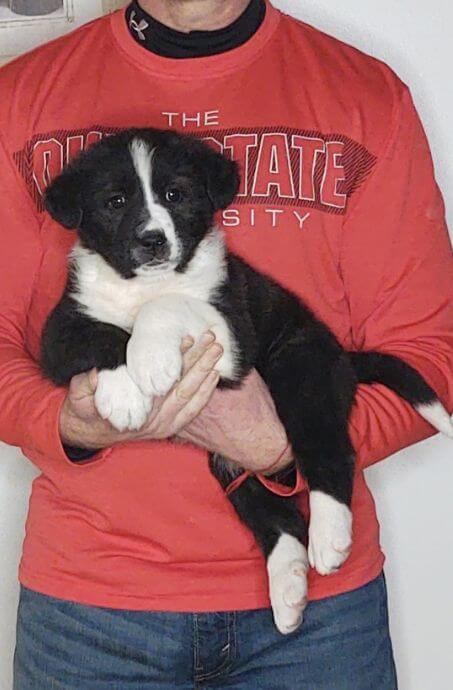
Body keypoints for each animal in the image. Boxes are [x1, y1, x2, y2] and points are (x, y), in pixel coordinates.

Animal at [40, 127, 450, 636]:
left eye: (175, 195)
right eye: (115, 202)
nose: (153, 241)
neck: (145, 284)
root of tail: (343, 356)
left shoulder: (232, 332)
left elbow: (169, 305)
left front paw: (150, 360)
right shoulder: (58, 330)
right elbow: (100, 334)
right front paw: (124, 393)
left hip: (302, 371)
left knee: (329, 450)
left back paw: (330, 537)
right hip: (229, 458)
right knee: (273, 509)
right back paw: (289, 587)